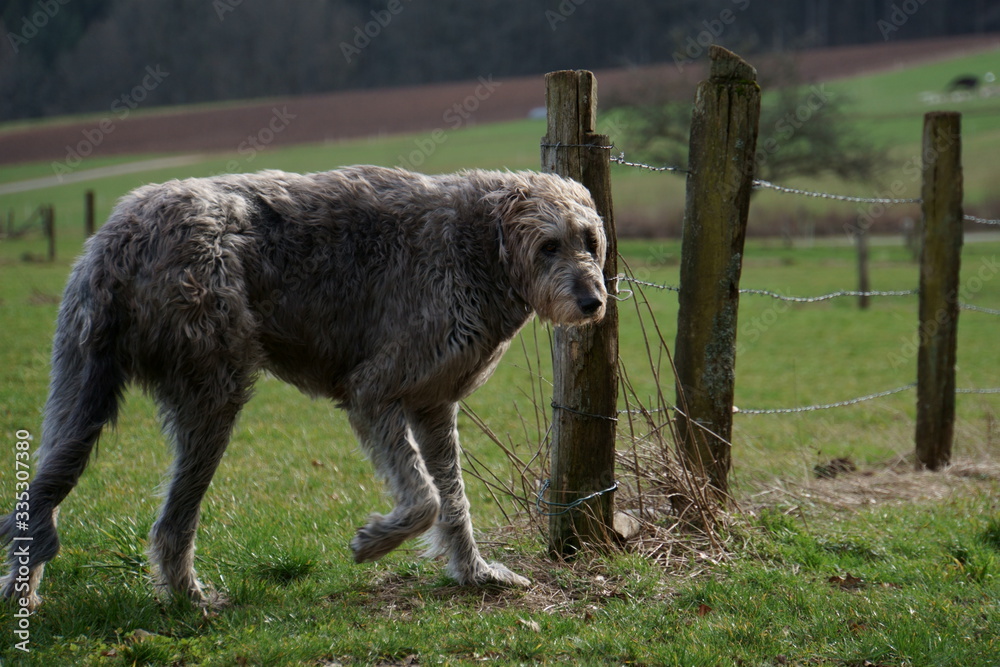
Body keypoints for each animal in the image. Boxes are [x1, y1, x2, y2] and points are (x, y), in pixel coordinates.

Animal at [0, 164, 608, 608]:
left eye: (590, 240)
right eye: (549, 245)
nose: (593, 301)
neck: (482, 246)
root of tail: (121, 235)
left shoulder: (433, 404)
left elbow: (453, 500)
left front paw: (476, 573)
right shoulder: (374, 391)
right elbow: (426, 499)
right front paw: (374, 542)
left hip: (77, 388)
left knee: (48, 492)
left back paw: (26, 594)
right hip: (212, 389)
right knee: (173, 523)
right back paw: (189, 598)